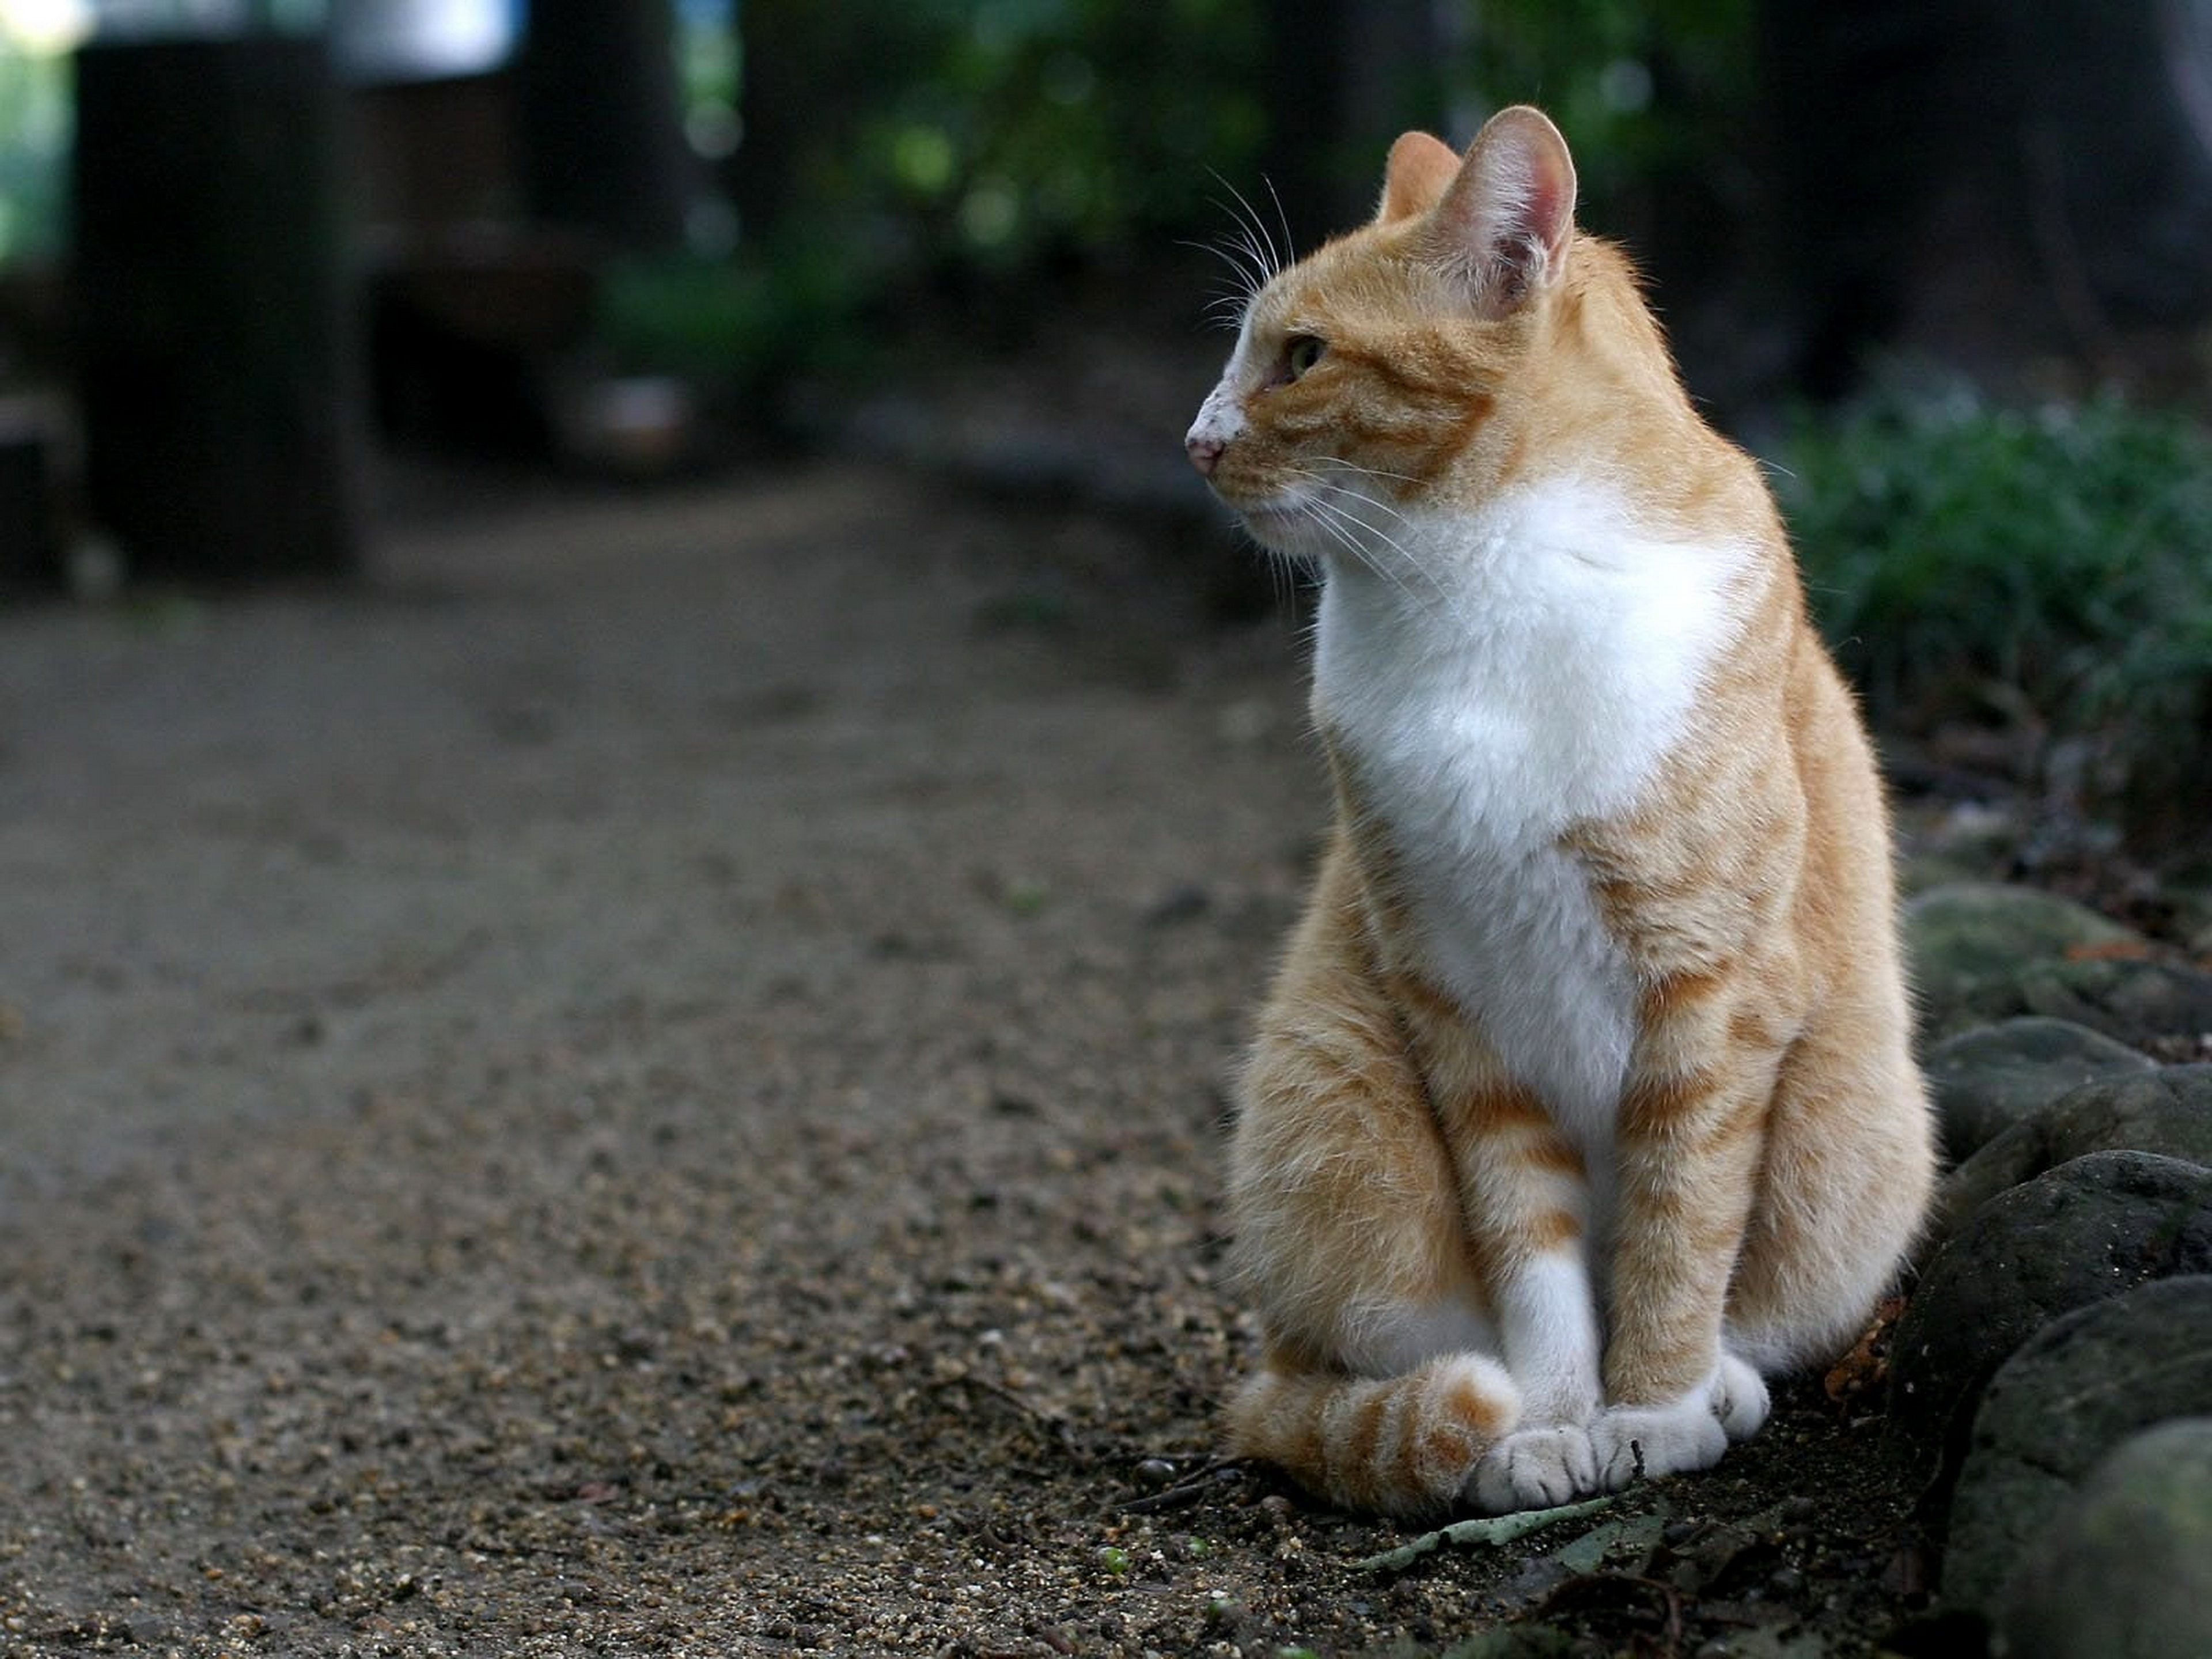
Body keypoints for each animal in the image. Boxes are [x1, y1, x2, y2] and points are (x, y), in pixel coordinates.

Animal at [1185, 111, 1929, 1531]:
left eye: (1301, 356)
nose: (1191, 441)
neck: (1481, 583)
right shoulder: (1456, 1002)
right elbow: (1528, 1249)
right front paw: (1552, 1426)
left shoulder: (1713, 994)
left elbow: (1680, 1226)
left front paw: (1654, 1409)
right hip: (1334, 1106)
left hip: (1855, 1131)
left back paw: (1722, 1389)